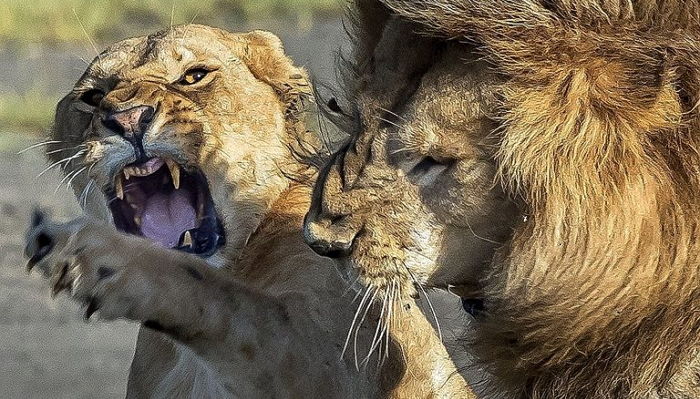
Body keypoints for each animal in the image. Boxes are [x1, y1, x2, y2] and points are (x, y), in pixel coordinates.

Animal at [23, 26, 470, 398]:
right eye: (92, 97)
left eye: (193, 76)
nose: (127, 118)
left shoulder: (349, 355)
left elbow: (236, 307)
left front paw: (105, 258)